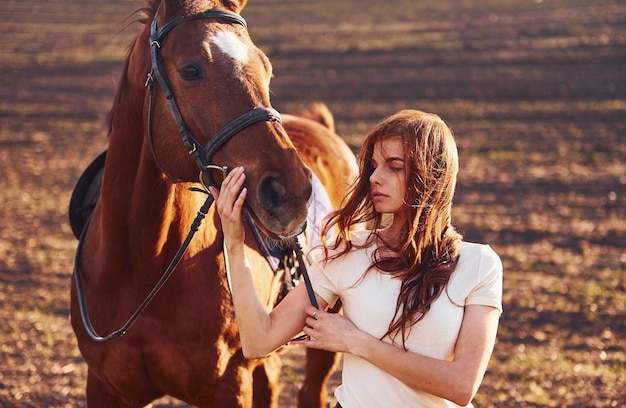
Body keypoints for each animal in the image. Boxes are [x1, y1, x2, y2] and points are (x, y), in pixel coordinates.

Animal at [68, 0, 356, 408]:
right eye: (191, 70)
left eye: (266, 68)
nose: (291, 191)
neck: (142, 268)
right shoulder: (105, 388)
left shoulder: (228, 386)